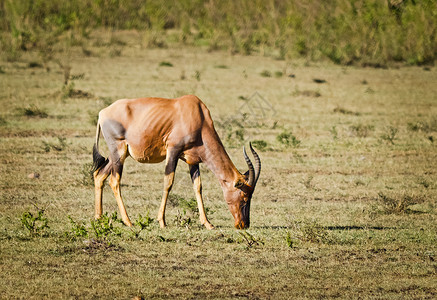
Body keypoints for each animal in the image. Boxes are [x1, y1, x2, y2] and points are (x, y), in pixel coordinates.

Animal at [91, 95, 258, 229]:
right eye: (244, 197)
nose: (243, 225)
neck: (197, 115)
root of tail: (102, 113)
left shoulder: (192, 161)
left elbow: (198, 187)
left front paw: (208, 223)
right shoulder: (173, 151)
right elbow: (168, 183)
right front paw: (162, 222)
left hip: (118, 155)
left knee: (99, 175)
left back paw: (99, 218)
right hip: (118, 152)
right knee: (114, 181)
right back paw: (128, 221)